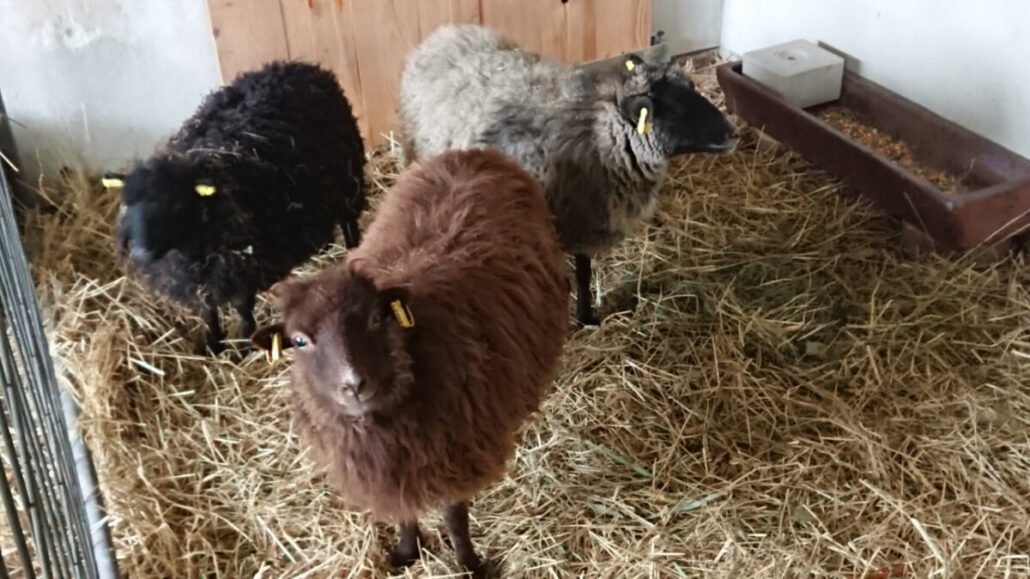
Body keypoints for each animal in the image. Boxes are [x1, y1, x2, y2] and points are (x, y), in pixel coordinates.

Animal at [105, 60, 366, 354]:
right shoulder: (205, 281)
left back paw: (351, 250)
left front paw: (244, 343)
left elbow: (242, 309)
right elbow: (207, 311)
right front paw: (213, 343)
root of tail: (300, 66)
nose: (140, 252)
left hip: (347, 179)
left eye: (175, 203)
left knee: (349, 220)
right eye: (128, 203)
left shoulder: (243, 266)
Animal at [250, 148, 570, 577]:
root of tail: (470, 154)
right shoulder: (394, 471)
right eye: (299, 340)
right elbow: (404, 511)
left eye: (375, 318)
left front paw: (468, 563)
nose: (354, 385)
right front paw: (405, 551)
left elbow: (455, 517)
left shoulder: (456, 452)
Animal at [399, 24, 739, 325]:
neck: (597, 138)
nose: (733, 133)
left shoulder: (583, 223)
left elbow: (584, 273)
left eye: (693, 89)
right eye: (676, 110)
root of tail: (444, 34)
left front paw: (587, 318)